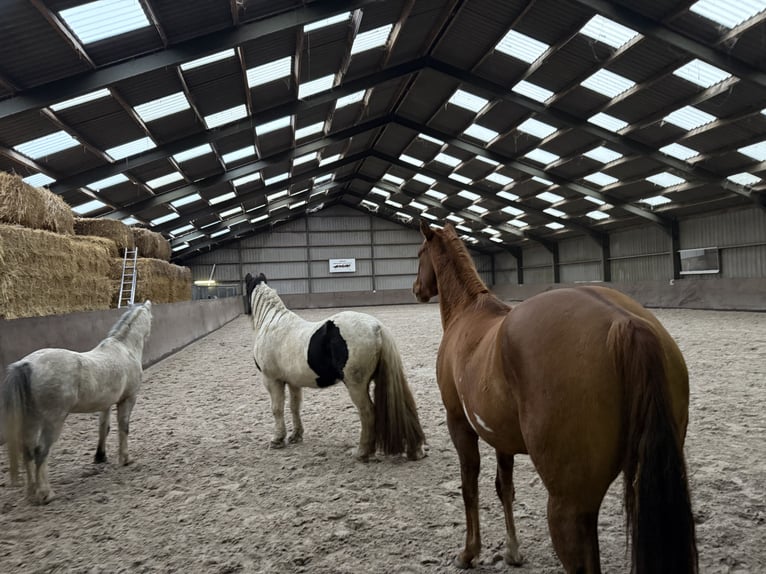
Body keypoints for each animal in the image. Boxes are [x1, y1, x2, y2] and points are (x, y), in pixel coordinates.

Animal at [1, 301, 153, 505]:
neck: (124, 349)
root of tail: (27, 364)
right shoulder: (128, 399)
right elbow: (124, 427)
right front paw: (125, 459)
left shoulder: (105, 404)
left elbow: (104, 428)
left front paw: (100, 456)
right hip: (53, 420)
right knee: (41, 451)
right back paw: (45, 494)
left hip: (31, 420)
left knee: (28, 451)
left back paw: (31, 492)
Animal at [244, 273, 425, 461]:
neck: (272, 323)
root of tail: (376, 327)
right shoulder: (293, 382)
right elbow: (294, 407)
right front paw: (295, 435)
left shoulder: (272, 380)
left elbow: (277, 409)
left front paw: (277, 440)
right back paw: (415, 451)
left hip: (356, 386)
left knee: (368, 413)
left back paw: (362, 452)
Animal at [413, 221, 697, 574]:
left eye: (419, 253)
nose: (416, 289)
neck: (468, 314)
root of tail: (625, 322)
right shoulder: (501, 437)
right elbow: (504, 488)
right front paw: (513, 551)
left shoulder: (460, 425)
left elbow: (470, 487)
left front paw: (469, 552)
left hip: (568, 507)